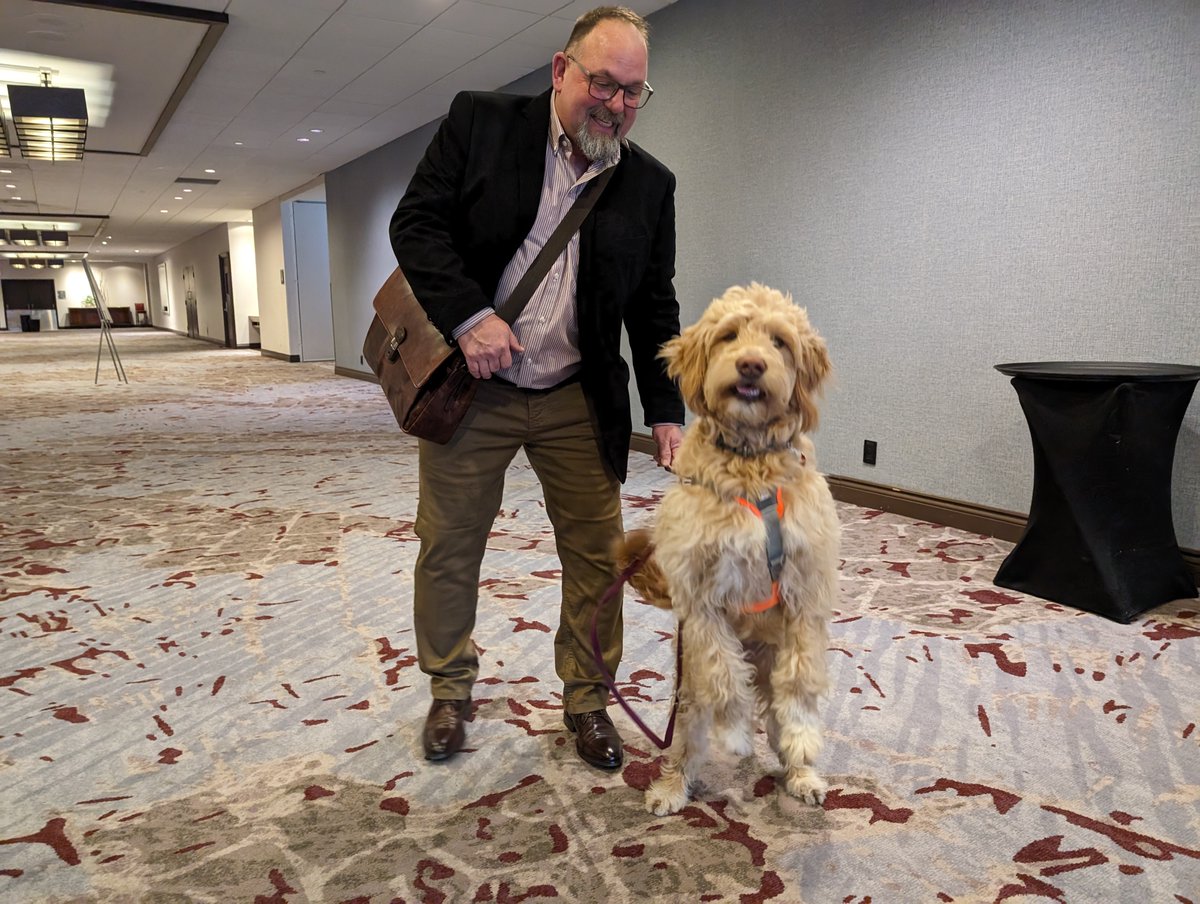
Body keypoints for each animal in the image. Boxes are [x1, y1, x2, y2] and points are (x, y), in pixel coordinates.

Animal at [624, 283, 840, 816]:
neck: (749, 462)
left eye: (779, 342)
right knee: (686, 741)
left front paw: (803, 738)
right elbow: (723, 674)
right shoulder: (701, 601)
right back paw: (671, 787)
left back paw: (802, 774)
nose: (751, 365)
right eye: (728, 336)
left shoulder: (806, 591)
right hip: (688, 694)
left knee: (780, 713)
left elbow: (801, 679)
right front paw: (738, 733)